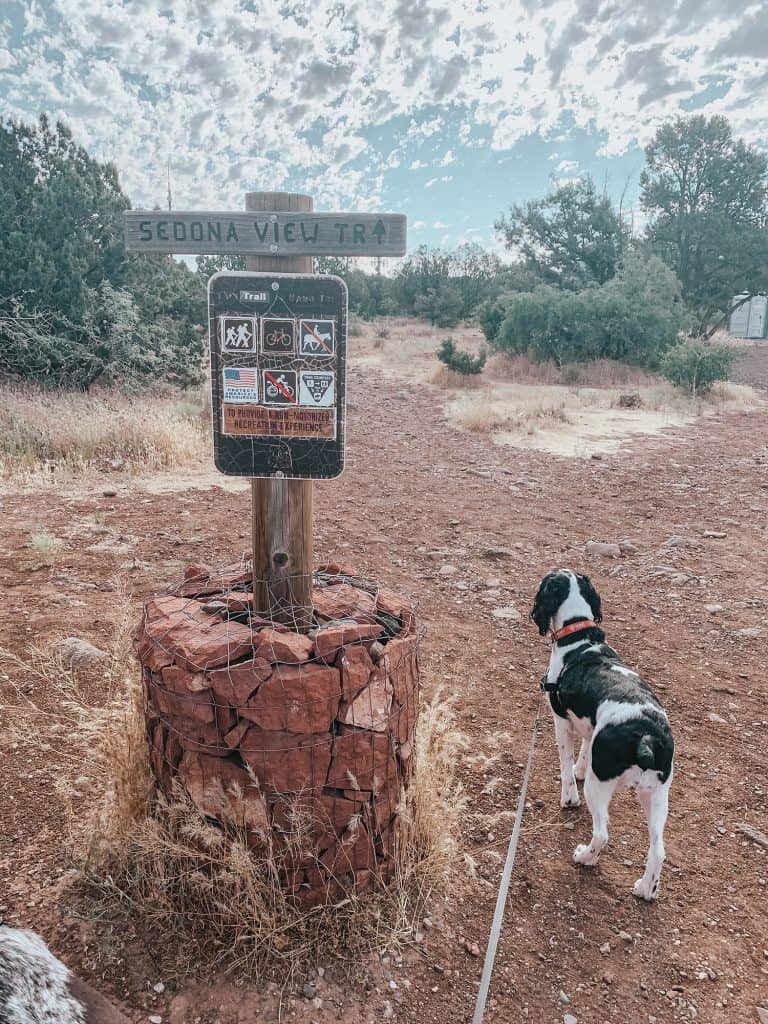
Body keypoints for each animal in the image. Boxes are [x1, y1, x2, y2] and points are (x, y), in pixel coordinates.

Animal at [532, 573, 675, 901]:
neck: (579, 636)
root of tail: (646, 735)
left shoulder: (560, 721)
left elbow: (565, 764)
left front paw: (568, 796)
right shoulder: (588, 724)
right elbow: (585, 750)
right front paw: (580, 769)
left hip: (600, 789)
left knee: (602, 834)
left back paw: (585, 857)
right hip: (656, 796)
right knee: (658, 850)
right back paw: (646, 889)